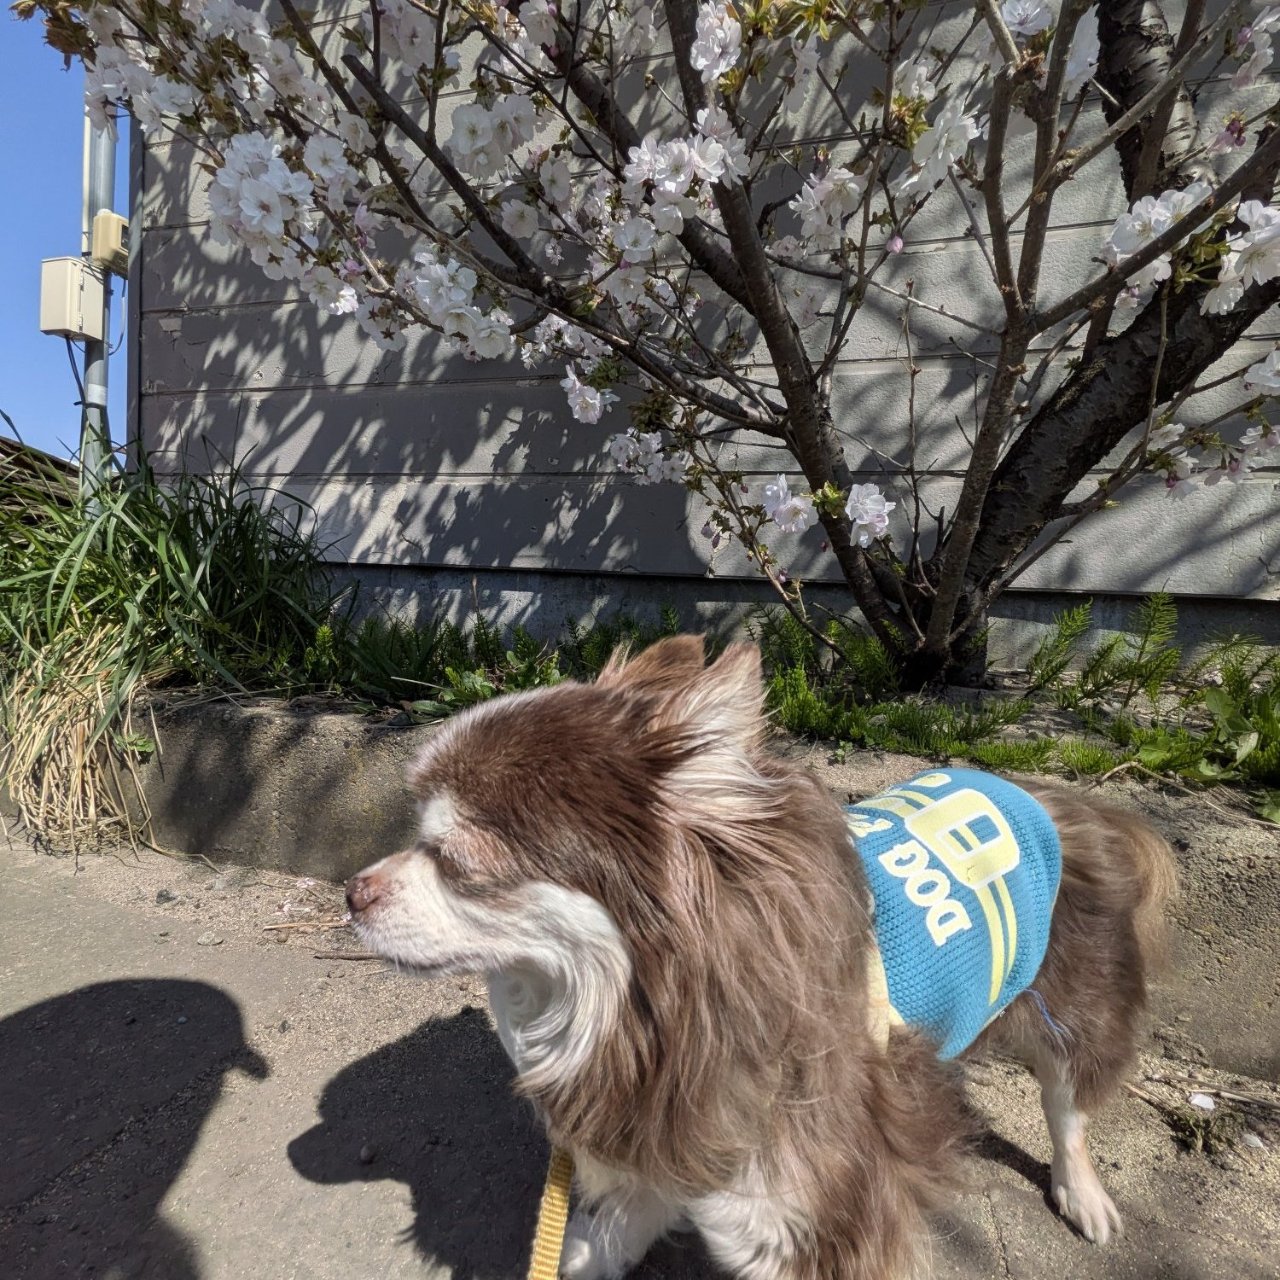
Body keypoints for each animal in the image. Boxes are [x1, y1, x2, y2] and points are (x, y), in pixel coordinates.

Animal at [346, 636, 1176, 1279]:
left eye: (455, 860)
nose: (353, 892)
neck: (632, 1013)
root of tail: (1056, 797)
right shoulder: (667, 1121)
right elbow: (634, 1204)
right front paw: (588, 1253)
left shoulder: (822, 1202)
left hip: (1078, 1001)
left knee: (1068, 1102)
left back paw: (1083, 1193)